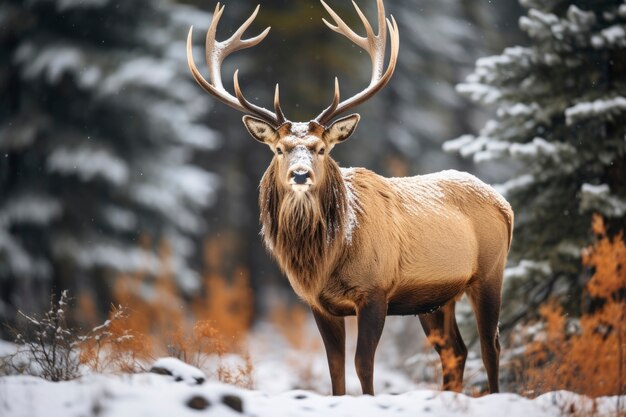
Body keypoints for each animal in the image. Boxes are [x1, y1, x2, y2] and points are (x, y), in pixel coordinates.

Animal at [186, 0, 512, 394]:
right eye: (279, 149)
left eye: (322, 148)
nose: (300, 174)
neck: (328, 258)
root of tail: (505, 204)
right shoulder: (318, 303)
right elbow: (335, 368)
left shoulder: (375, 291)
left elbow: (363, 364)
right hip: (435, 299)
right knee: (455, 351)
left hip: (490, 272)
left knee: (491, 344)